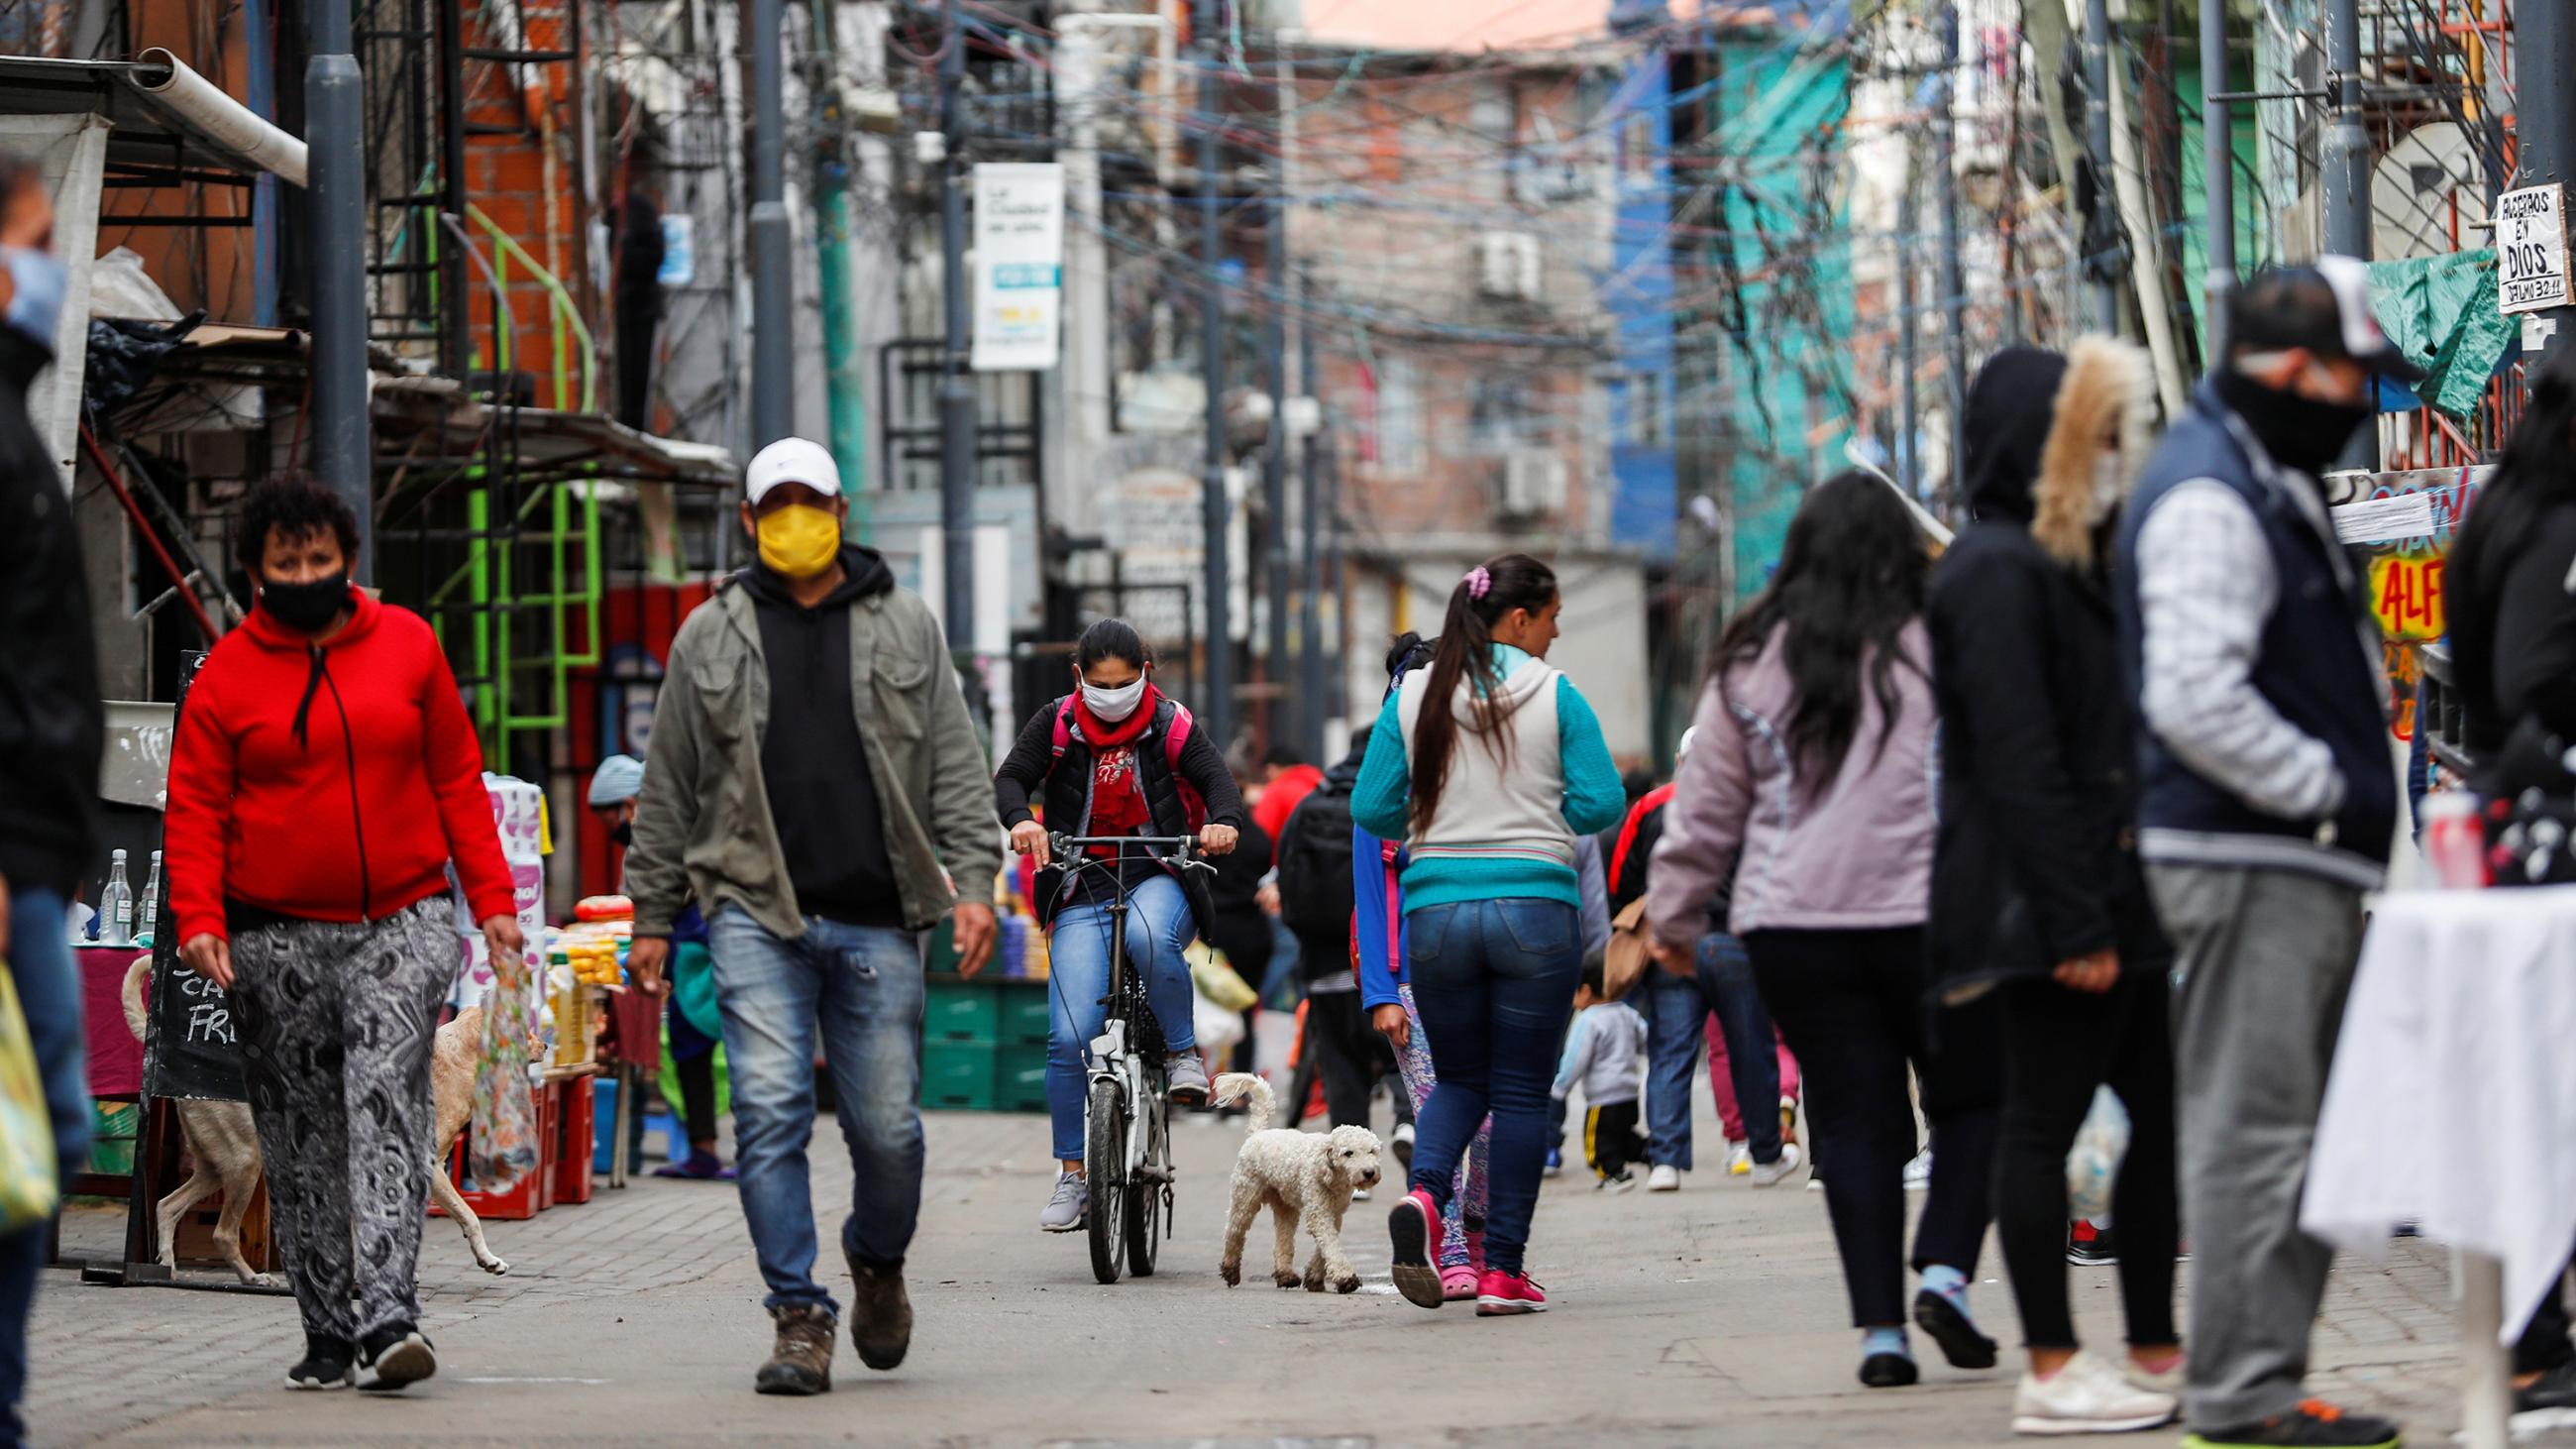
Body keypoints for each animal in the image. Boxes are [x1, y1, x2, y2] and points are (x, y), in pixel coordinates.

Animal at [123, 958, 515, 1274]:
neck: (460, 1056)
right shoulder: (427, 1170)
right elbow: (469, 1215)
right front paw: (488, 1259)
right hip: (246, 1165)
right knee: (222, 1233)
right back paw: (252, 1277)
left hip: (216, 1168)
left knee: (167, 1205)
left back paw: (168, 1266)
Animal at [1211, 1072, 1391, 1283]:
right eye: (1348, 1153)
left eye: (1372, 1151)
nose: (1369, 1172)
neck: (1329, 1174)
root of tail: (1258, 1133)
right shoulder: (1319, 1212)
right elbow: (1329, 1243)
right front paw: (1345, 1277)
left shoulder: (1335, 1213)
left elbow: (1326, 1243)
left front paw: (1314, 1275)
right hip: (1245, 1197)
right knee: (1234, 1231)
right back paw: (1230, 1269)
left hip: (1285, 1205)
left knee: (1284, 1237)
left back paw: (1285, 1274)